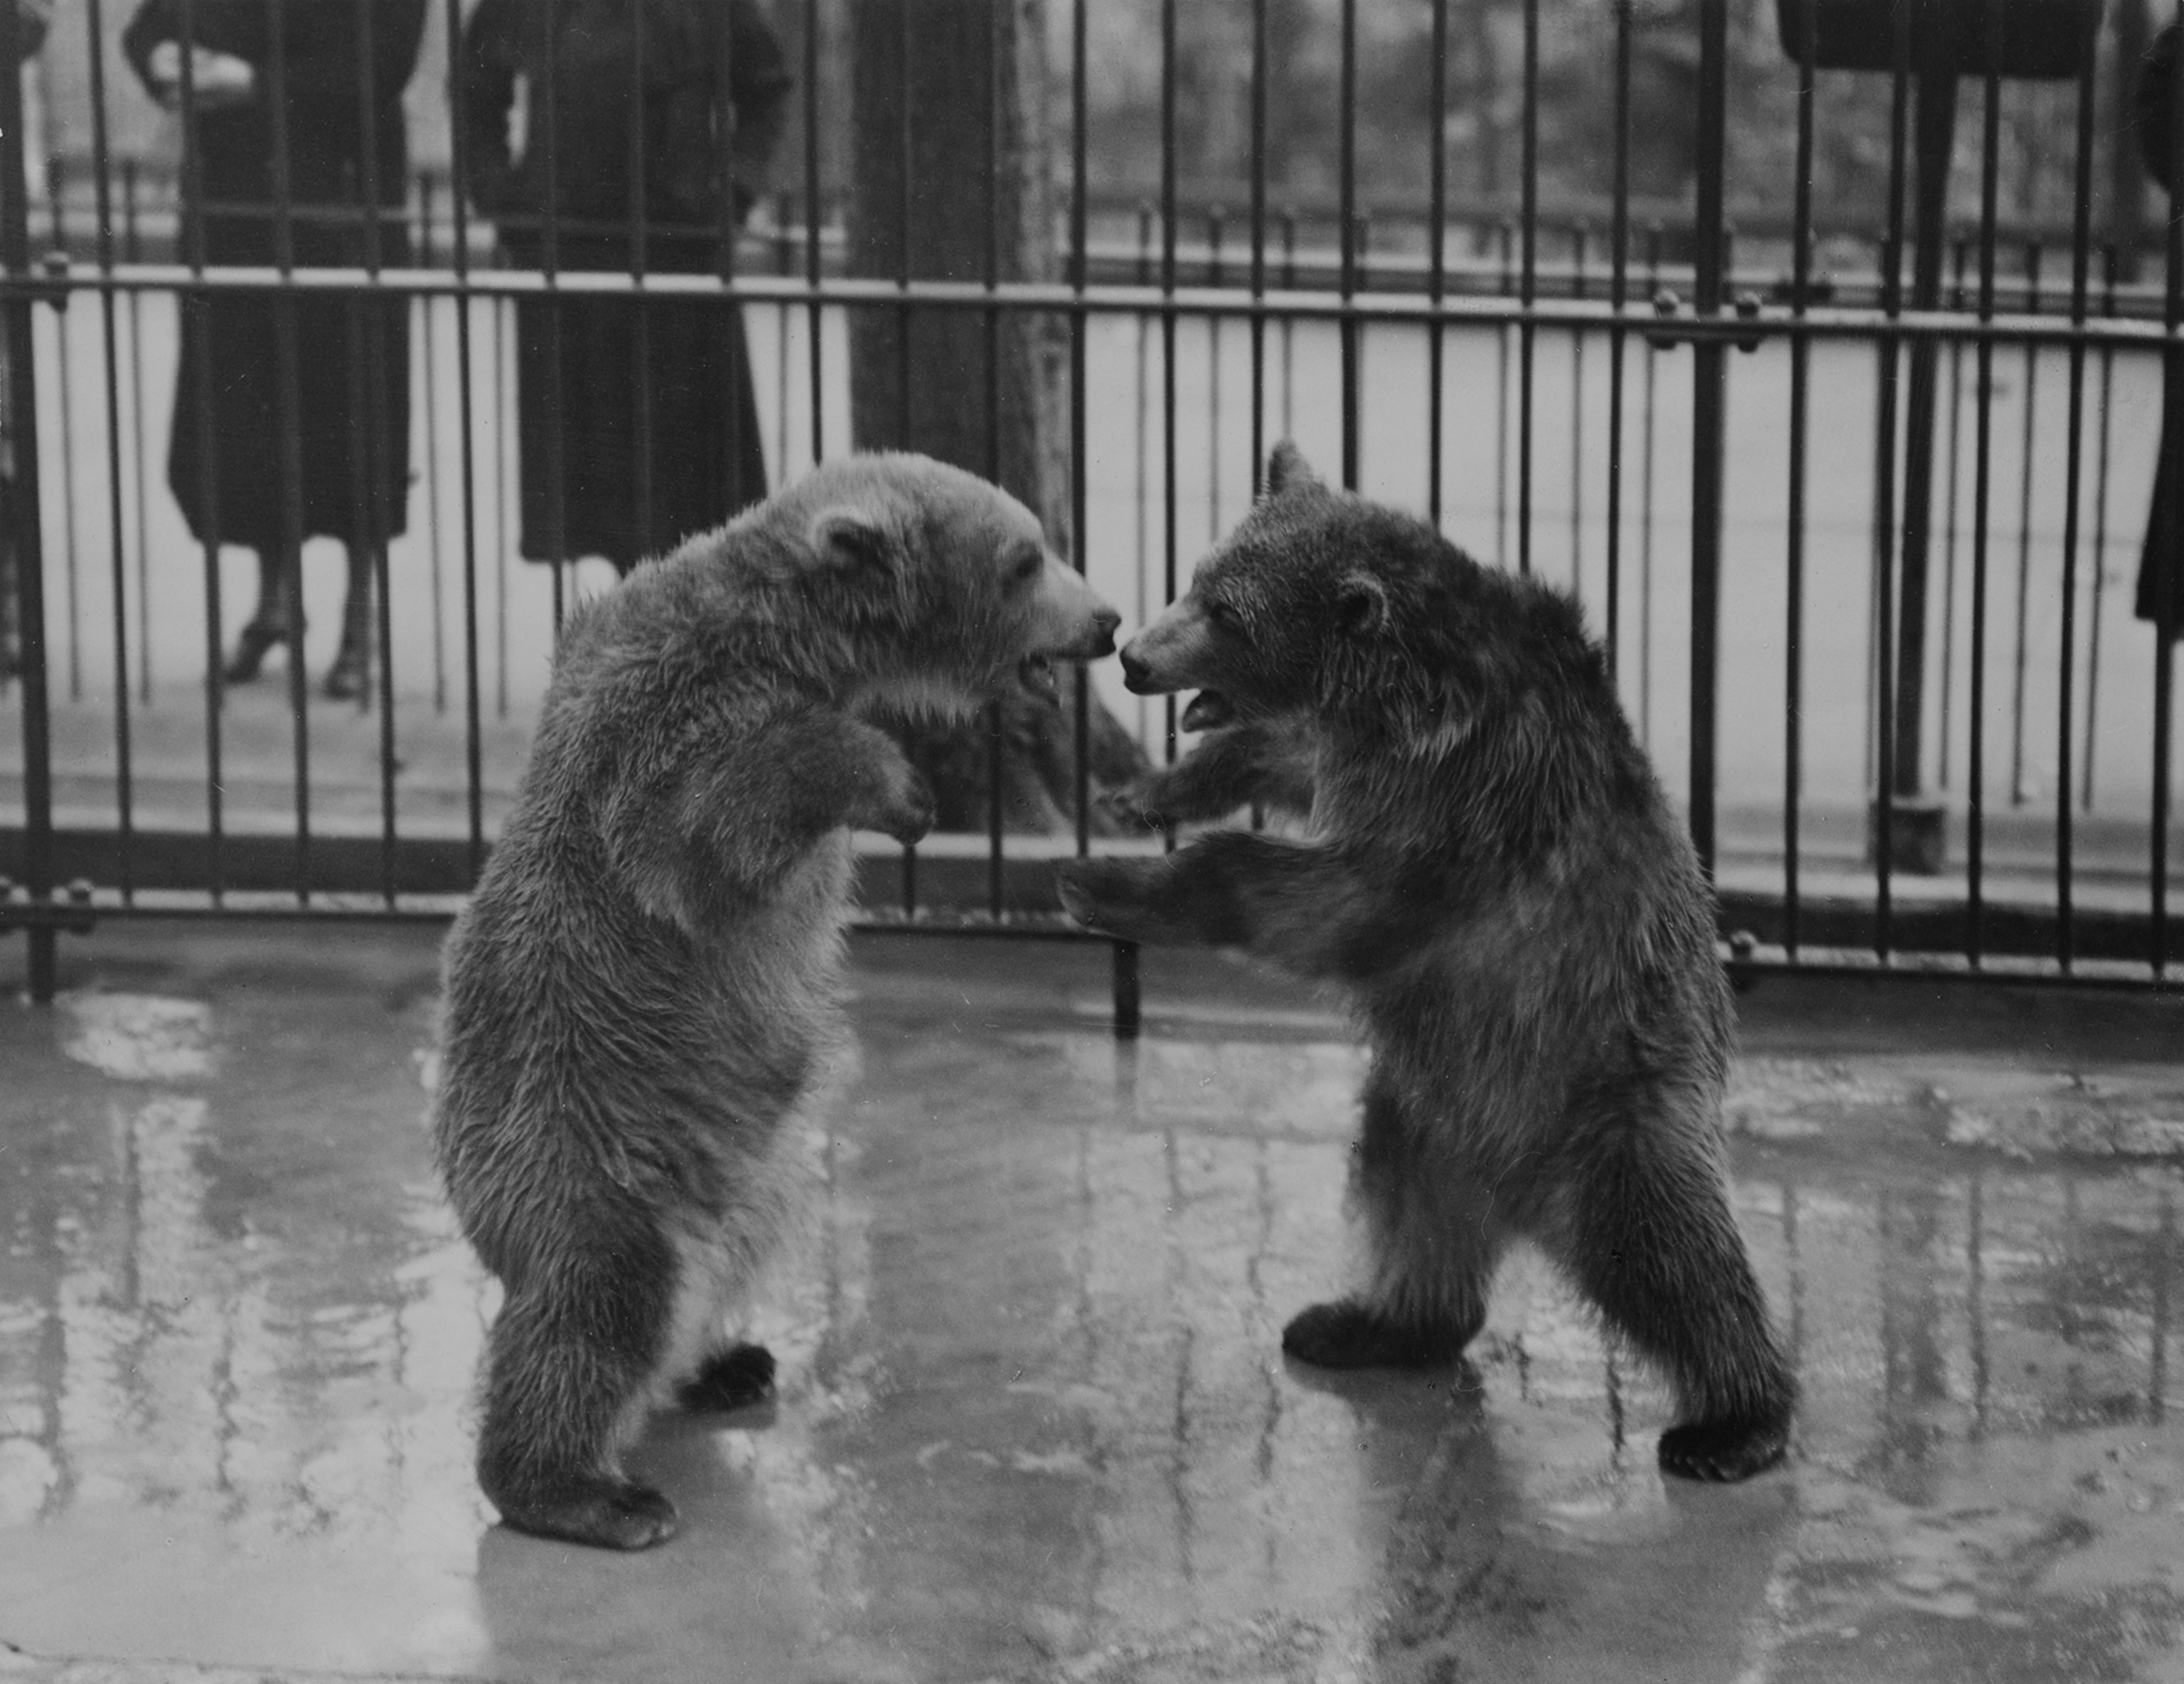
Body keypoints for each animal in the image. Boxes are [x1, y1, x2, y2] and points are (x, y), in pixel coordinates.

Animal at [443, 452, 1127, 1555]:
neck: (801, 639)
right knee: (597, 1304)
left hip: (750, 1177)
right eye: (1025, 558)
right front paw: (901, 786)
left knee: (718, 1265)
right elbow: (720, 819)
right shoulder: (670, 731)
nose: (1106, 618)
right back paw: (592, 1491)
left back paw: (725, 1361)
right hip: (577, 1145)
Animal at [1052, 441, 1791, 1485]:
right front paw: (1146, 791)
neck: (1403, 699)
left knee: (1667, 1252)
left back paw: (1733, 1421)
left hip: (1609, 1098)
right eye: (1197, 577)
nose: (1134, 654)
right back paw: (1365, 1320)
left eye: (1229, 611)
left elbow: (1331, 899)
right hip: (1422, 1106)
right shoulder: (1365, 761)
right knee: (1410, 1216)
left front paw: (1104, 881)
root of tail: (1517, 1191)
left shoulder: (1470, 810)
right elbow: (1281, 757)